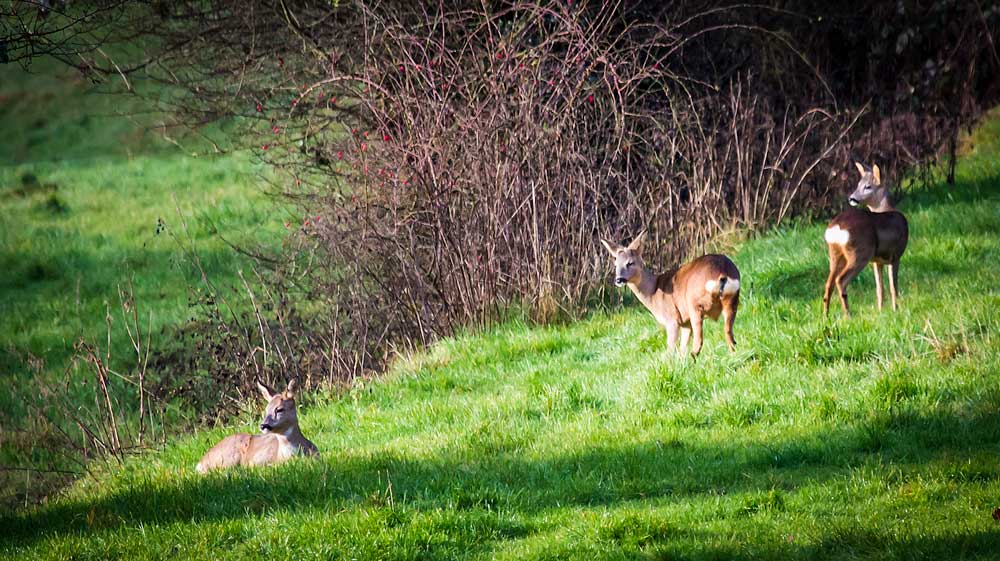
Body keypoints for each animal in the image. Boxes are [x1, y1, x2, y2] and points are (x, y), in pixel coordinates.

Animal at [596, 232, 740, 358]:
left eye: (630, 263)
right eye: (616, 264)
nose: (619, 279)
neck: (653, 292)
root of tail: (722, 273)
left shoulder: (672, 319)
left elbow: (671, 349)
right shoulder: (685, 322)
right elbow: (682, 349)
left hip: (695, 304)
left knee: (699, 341)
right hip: (732, 299)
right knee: (729, 335)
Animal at [824, 164, 912, 318]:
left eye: (867, 186)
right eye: (859, 184)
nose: (852, 198)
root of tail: (836, 228)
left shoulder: (877, 261)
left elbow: (879, 288)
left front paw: (881, 310)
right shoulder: (896, 256)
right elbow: (893, 286)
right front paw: (896, 309)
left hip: (835, 254)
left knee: (829, 284)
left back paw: (825, 316)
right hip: (860, 253)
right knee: (840, 280)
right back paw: (847, 315)